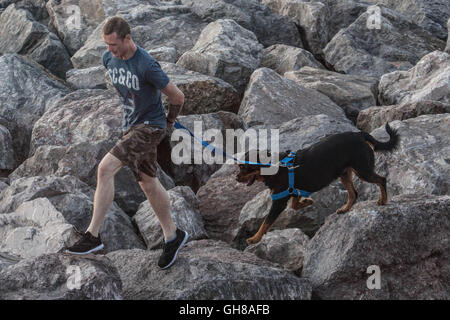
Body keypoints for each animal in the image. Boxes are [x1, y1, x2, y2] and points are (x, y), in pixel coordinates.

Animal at [236, 122, 400, 245]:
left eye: (244, 167)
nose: (236, 178)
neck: (275, 166)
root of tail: (359, 134)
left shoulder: (279, 202)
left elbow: (266, 222)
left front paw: (254, 238)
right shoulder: (293, 191)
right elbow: (294, 205)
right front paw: (307, 201)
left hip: (363, 170)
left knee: (381, 180)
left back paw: (383, 200)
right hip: (345, 174)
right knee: (354, 193)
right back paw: (345, 209)